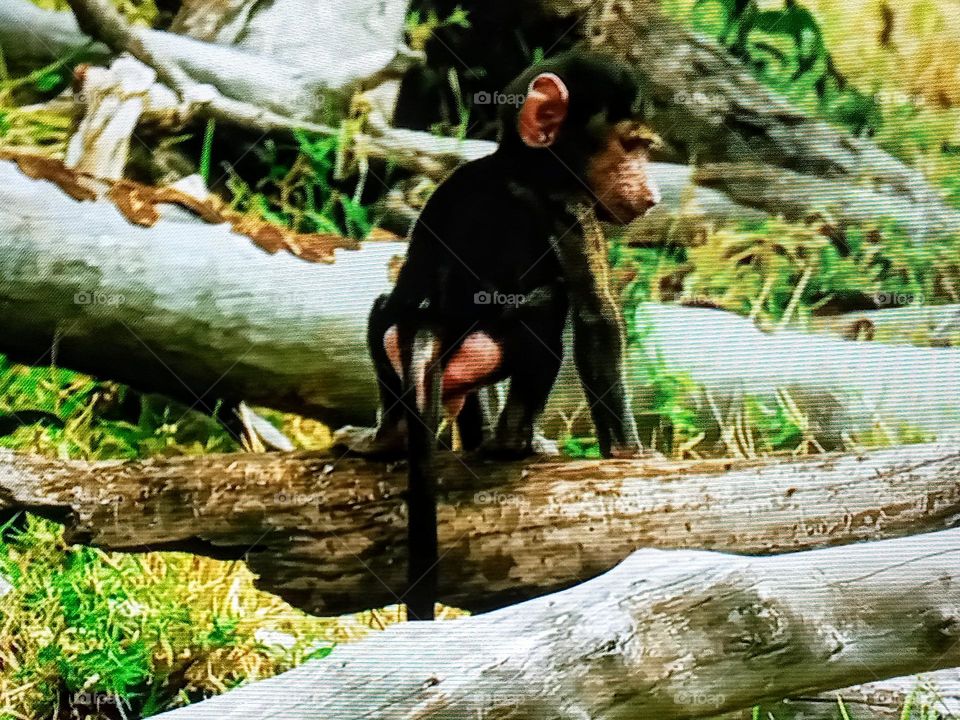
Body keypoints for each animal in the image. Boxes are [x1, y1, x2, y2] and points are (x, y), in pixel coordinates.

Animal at [335, 50, 660, 620]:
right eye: (631, 146)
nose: (653, 192)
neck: (518, 163)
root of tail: (431, 324)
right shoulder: (569, 206)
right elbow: (595, 318)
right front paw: (628, 457)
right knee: (548, 311)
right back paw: (514, 444)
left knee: (383, 313)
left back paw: (387, 439)